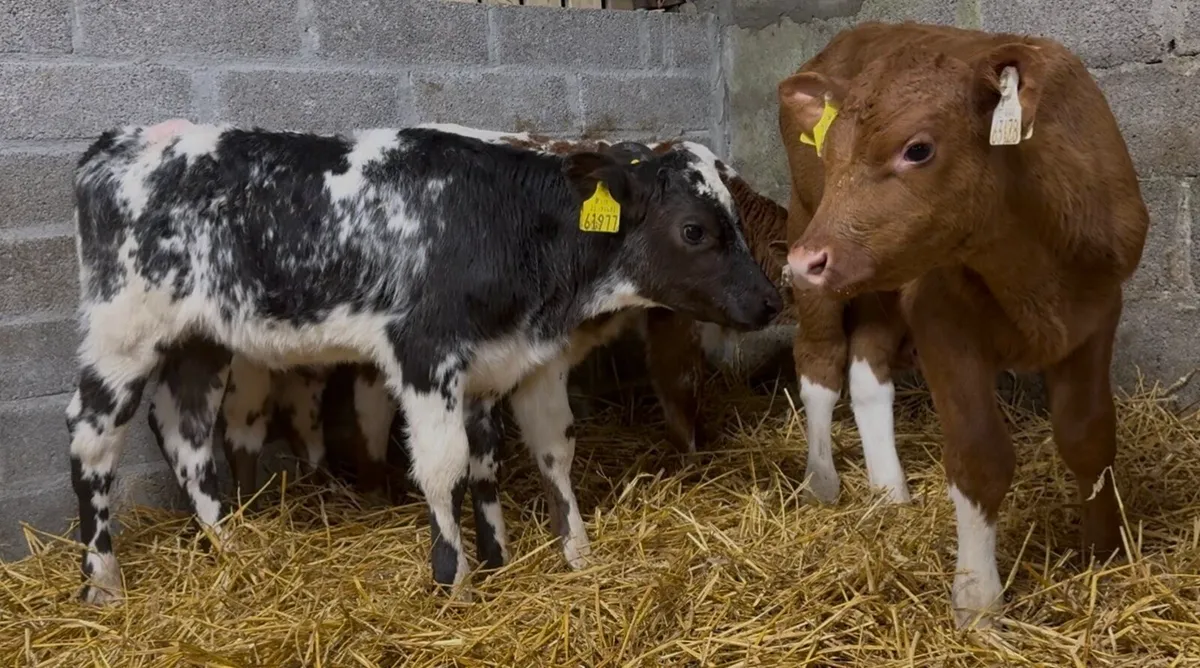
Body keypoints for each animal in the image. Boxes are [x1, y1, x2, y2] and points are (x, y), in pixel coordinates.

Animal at [68, 119, 782, 604]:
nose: (771, 300)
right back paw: (103, 582)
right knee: (91, 439)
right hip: (121, 332)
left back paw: (234, 549)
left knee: (187, 436)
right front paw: (456, 580)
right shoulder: (424, 354)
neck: (504, 224)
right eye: (694, 230)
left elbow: (548, 453)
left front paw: (569, 557)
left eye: (738, 220)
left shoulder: (527, 360)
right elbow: (444, 467)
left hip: (200, 340)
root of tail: (118, 141)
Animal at [777, 22, 1149, 627]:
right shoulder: (941, 318)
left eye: (918, 149)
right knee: (820, 362)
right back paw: (823, 481)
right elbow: (979, 457)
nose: (810, 259)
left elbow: (1089, 436)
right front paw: (978, 601)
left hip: (878, 283)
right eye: (830, 155)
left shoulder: (1096, 313)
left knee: (868, 368)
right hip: (807, 226)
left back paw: (889, 488)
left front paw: (1103, 551)